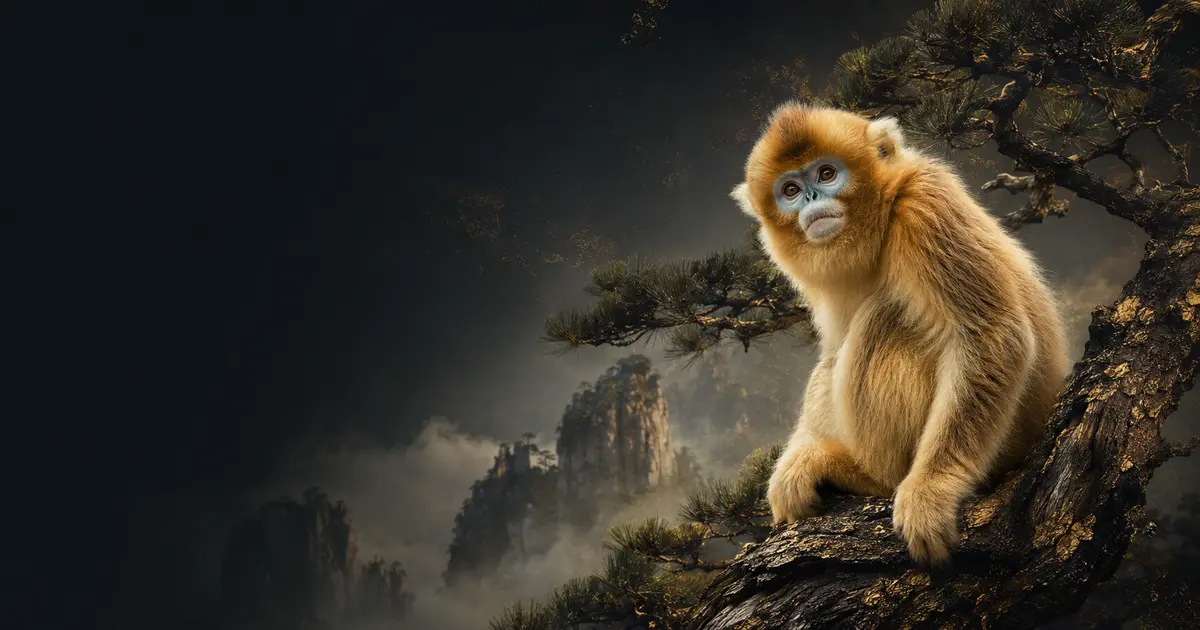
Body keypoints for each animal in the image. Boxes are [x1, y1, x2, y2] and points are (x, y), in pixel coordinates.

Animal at [729, 102, 1070, 566]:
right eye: (790, 189)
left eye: (826, 174)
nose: (812, 199)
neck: (883, 217)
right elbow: (830, 353)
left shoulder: (924, 205)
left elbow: (992, 334)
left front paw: (933, 490)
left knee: (887, 315)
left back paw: (862, 475)